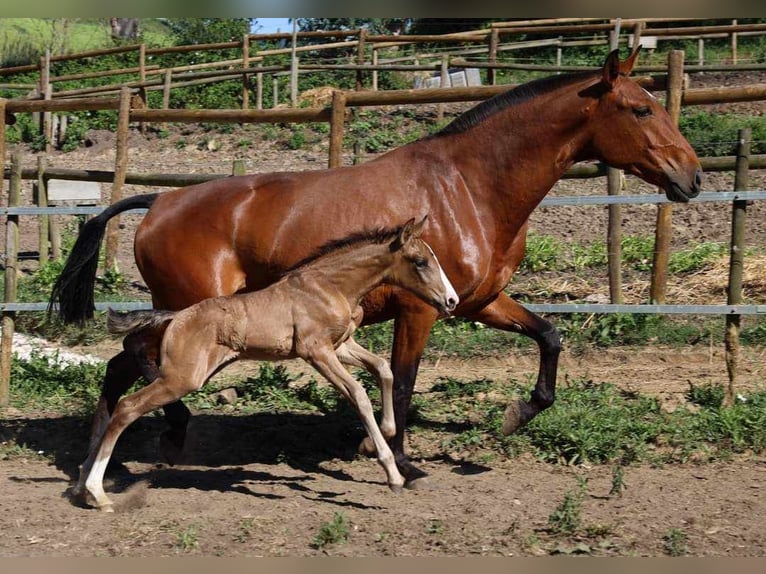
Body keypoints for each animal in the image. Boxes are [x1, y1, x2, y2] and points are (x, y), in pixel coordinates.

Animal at [51, 49, 704, 488]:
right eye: (640, 109)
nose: (692, 177)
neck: (467, 188)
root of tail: (159, 201)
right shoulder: (420, 308)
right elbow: (406, 377)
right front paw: (401, 459)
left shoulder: (475, 301)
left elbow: (550, 336)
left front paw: (513, 416)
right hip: (192, 311)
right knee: (136, 361)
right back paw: (153, 439)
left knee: (123, 364)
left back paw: (105, 458)